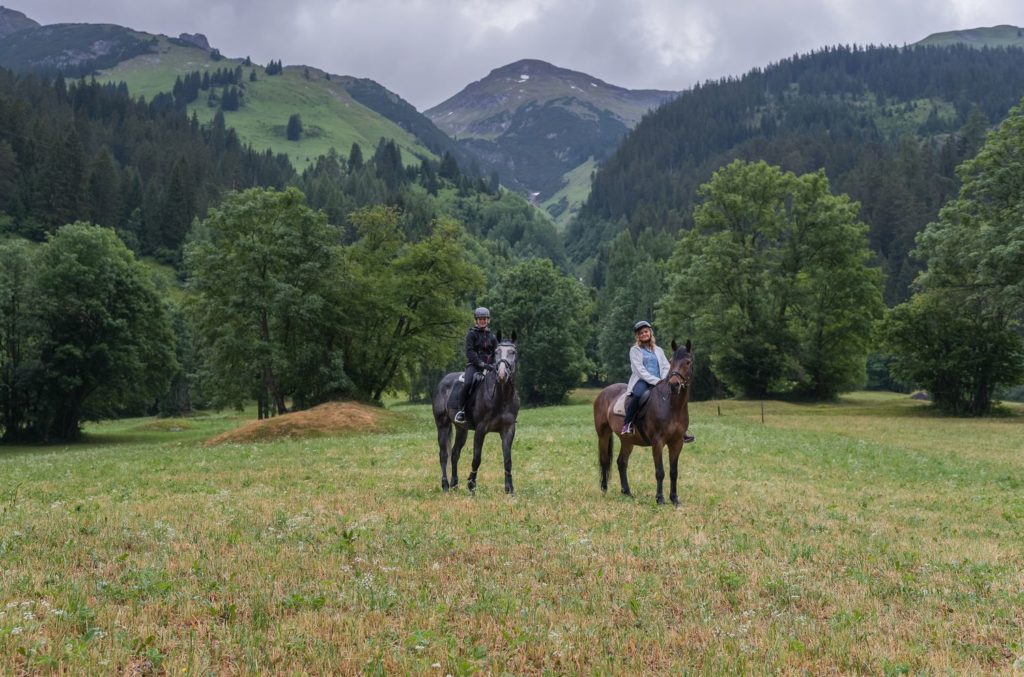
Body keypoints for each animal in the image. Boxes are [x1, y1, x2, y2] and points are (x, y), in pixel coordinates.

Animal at [432, 335, 520, 493]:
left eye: (513, 352)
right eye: (497, 352)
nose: (502, 375)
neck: (501, 398)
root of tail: (442, 382)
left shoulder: (508, 429)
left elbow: (507, 460)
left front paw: (509, 489)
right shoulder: (480, 429)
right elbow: (476, 458)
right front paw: (471, 485)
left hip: (461, 429)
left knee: (454, 453)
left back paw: (454, 484)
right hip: (442, 425)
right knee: (443, 455)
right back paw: (446, 485)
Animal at [593, 340, 696, 503]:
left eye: (688, 362)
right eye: (671, 361)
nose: (674, 384)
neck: (671, 405)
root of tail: (604, 392)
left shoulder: (677, 442)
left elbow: (674, 472)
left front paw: (674, 499)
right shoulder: (658, 442)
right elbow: (660, 472)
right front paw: (660, 499)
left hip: (627, 440)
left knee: (621, 462)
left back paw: (627, 492)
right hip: (603, 434)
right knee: (604, 460)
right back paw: (604, 489)